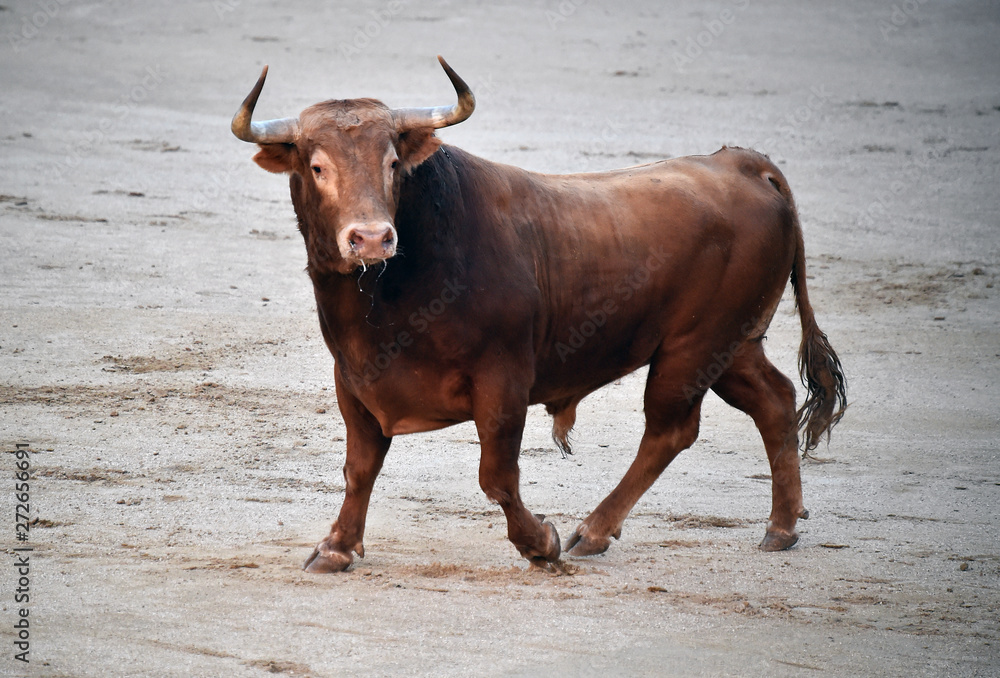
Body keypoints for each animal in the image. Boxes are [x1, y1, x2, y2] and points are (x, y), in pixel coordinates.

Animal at [231, 56, 847, 573]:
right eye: (316, 167)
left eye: (392, 163)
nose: (372, 238)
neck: (390, 296)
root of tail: (742, 165)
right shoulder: (353, 377)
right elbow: (360, 467)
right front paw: (335, 547)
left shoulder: (503, 377)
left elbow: (497, 476)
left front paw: (539, 543)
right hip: (734, 344)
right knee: (774, 400)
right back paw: (781, 527)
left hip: (695, 347)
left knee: (670, 429)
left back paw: (591, 532)